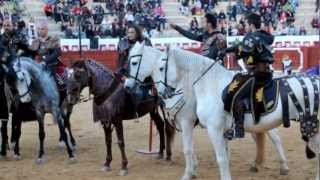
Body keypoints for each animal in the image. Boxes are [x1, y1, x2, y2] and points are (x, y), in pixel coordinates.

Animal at [124, 42, 292, 180]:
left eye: (134, 62)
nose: (127, 86)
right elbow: (192, 148)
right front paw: (193, 169)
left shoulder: (187, 121)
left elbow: (188, 149)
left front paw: (188, 173)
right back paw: (257, 164)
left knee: (275, 138)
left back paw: (283, 166)